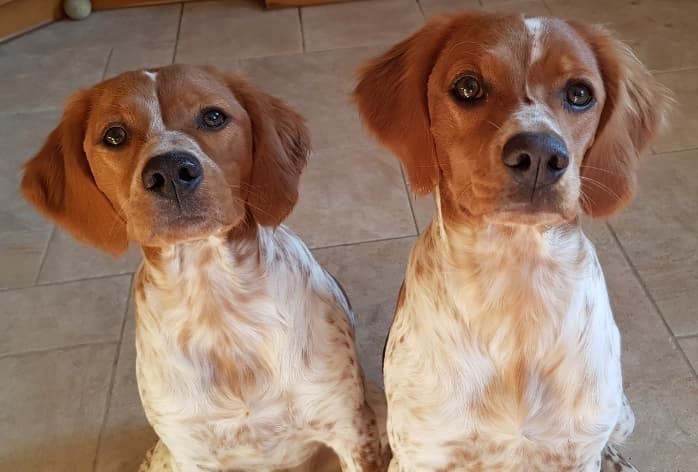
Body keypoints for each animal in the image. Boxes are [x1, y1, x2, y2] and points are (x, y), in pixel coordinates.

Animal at [21, 63, 384, 472]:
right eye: (114, 135)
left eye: (213, 117)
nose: (170, 171)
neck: (215, 301)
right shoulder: (192, 453)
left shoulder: (350, 429)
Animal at [354, 11, 668, 472]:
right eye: (468, 87)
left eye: (580, 94)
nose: (539, 155)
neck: (516, 281)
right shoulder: (423, 452)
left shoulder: (576, 453)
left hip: (622, 415)